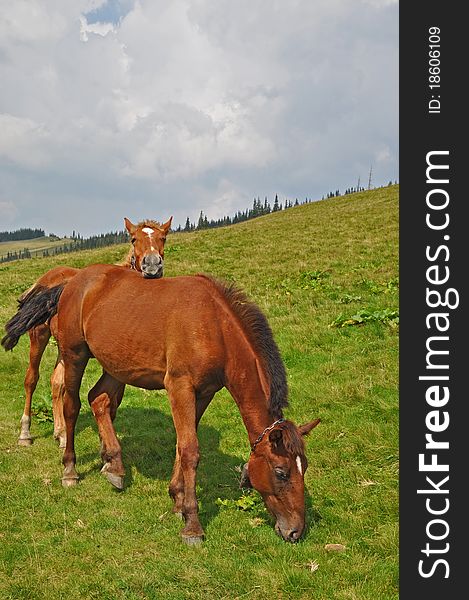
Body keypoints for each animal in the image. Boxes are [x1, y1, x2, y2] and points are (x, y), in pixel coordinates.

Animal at [2, 216, 171, 446]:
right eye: (134, 239)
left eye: (163, 238)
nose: (152, 265)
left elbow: (112, 401)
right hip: (39, 337)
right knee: (31, 380)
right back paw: (25, 433)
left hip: (65, 348)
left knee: (57, 383)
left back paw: (61, 433)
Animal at [3, 266, 320, 544]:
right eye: (281, 472)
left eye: (303, 468)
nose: (295, 531)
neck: (214, 325)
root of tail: (71, 281)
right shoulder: (179, 387)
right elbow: (190, 450)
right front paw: (192, 524)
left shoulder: (204, 393)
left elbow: (182, 444)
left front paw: (177, 500)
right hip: (74, 355)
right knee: (71, 405)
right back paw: (69, 468)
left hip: (117, 365)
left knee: (99, 400)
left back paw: (114, 465)